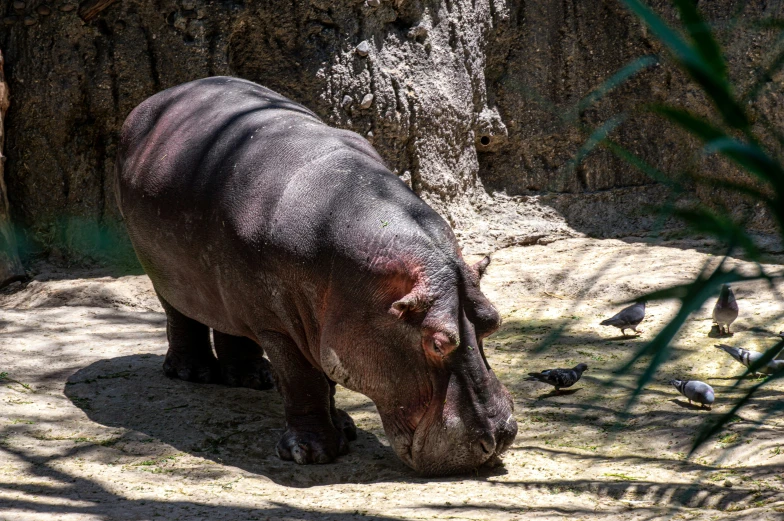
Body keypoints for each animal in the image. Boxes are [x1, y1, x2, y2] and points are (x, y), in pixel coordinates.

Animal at [110, 76, 516, 476]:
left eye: (493, 321)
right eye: (437, 343)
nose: (500, 437)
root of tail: (162, 96)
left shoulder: (327, 319)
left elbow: (327, 376)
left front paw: (345, 429)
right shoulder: (277, 326)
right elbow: (302, 379)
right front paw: (310, 453)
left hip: (225, 288)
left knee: (228, 322)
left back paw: (253, 378)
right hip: (161, 271)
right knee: (179, 313)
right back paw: (192, 373)